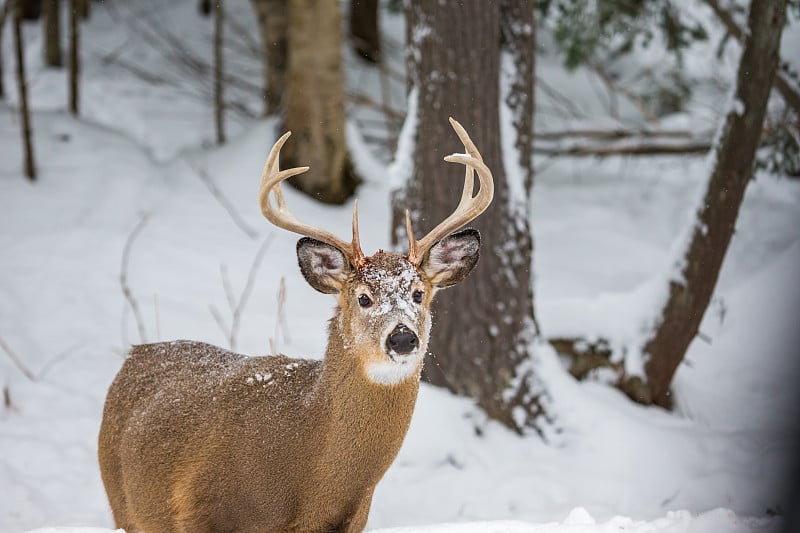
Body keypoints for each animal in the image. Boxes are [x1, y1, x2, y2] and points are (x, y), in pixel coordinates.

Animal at [97, 117, 490, 532]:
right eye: (363, 297)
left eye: (418, 294)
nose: (402, 339)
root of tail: (135, 354)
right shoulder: (198, 510)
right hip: (122, 503)